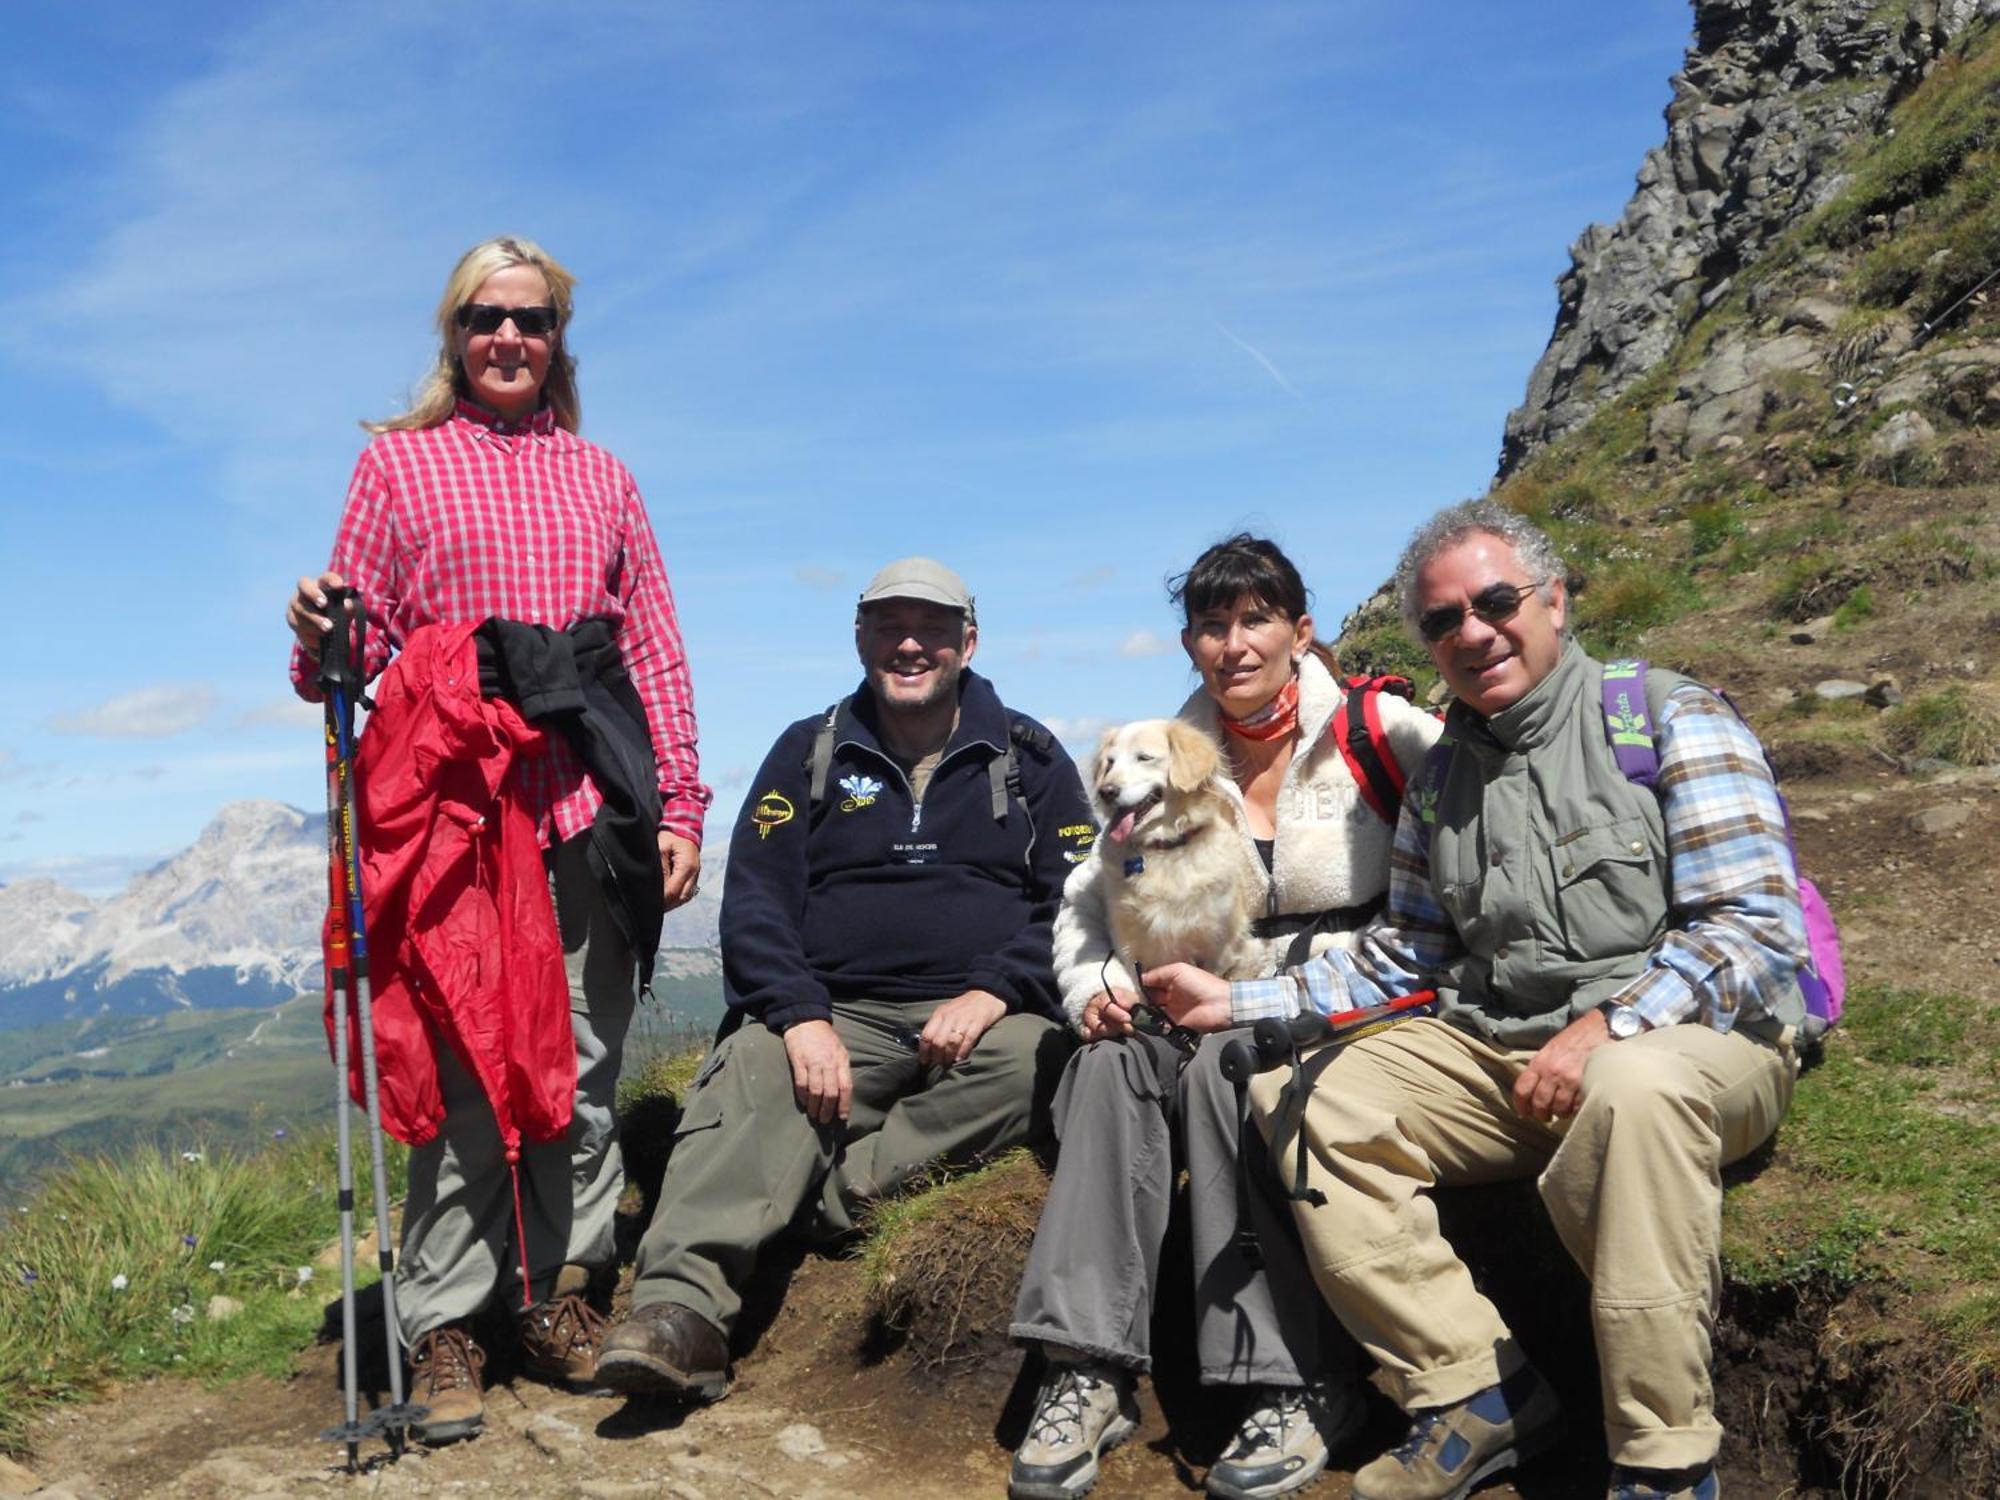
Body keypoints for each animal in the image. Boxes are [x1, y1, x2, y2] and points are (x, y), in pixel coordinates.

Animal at [1096, 720, 1264, 988]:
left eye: (1144, 758)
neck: (1165, 846)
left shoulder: (1217, 944)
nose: (1106, 791)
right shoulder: (1128, 946)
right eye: (1110, 763)